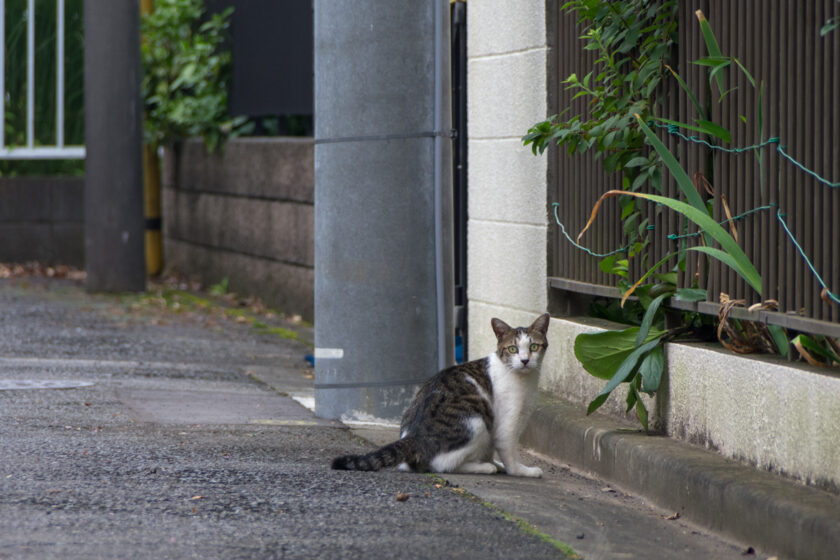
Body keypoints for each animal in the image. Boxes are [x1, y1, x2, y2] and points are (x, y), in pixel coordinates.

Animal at [328, 312, 552, 480]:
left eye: (533, 347)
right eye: (513, 348)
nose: (524, 360)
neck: (524, 379)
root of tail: (413, 437)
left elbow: (490, 451)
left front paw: (492, 461)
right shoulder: (506, 422)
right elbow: (509, 449)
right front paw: (521, 471)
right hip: (476, 420)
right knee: (442, 464)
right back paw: (482, 467)